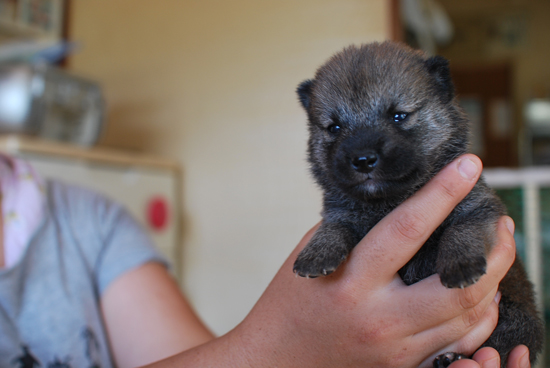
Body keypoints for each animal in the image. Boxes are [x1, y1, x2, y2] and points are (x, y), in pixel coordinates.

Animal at [296, 41, 544, 368]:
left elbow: (461, 230)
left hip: (518, 319)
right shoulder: (341, 213)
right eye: (334, 128)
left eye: (399, 116)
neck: (390, 200)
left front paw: (460, 263)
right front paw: (316, 253)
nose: (362, 159)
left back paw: (452, 357)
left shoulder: (477, 206)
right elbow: (332, 228)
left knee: (502, 345)